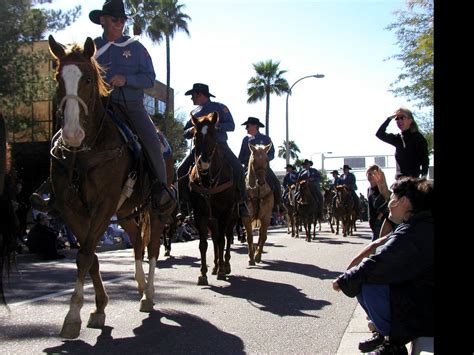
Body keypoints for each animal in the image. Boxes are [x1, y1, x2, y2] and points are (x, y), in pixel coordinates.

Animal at [46, 36, 171, 340]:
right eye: (58, 79)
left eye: (89, 79)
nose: (72, 134)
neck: (86, 151)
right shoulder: (72, 208)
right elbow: (89, 256)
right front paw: (98, 308)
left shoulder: (103, 204)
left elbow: (84, 255)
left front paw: (73, 315)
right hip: (126, 212)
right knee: (137, 240)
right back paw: (140, 285)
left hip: (156, 210)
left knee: (152, 246)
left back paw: (148, 294)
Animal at [187, 112, 239, 286]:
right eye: (195, 135)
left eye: (213, 134)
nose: (203, 162)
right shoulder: (200, 215)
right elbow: (203, 244)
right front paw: (203, 273)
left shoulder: (224, 213)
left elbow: (223, 241)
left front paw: (222, 271)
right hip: (212, 220)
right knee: (215, 239)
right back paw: (216, 266)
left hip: (232, 217)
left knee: (227, 238)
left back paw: (225, 266)